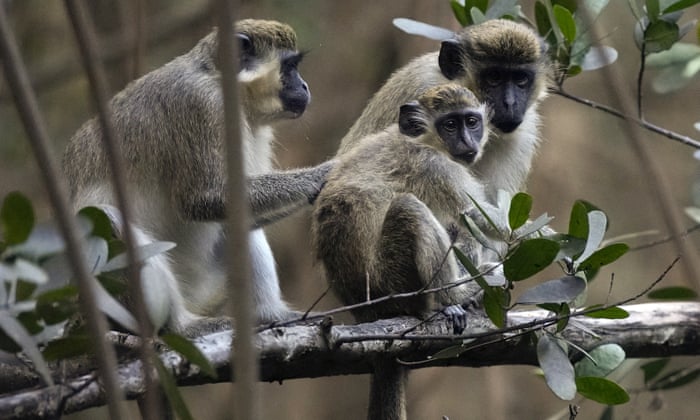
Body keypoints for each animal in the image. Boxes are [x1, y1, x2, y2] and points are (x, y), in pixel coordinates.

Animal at [63, 19, 333, 336]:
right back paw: (181, 326)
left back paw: (270, 315)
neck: (220, 80)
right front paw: (323, 173)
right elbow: (203, 199)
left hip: (208, 288)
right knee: (108, 217)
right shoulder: (201, 106)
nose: (305, 86)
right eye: (290, 67)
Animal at [312, 84, 504, 420]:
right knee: (412, 208)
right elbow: (477, 215)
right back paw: (456, 298)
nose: (467, 142)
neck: (422, 140)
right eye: (450, 125)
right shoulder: (435, 167)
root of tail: (368, 311)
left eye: (472, 122)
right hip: (394, 281)